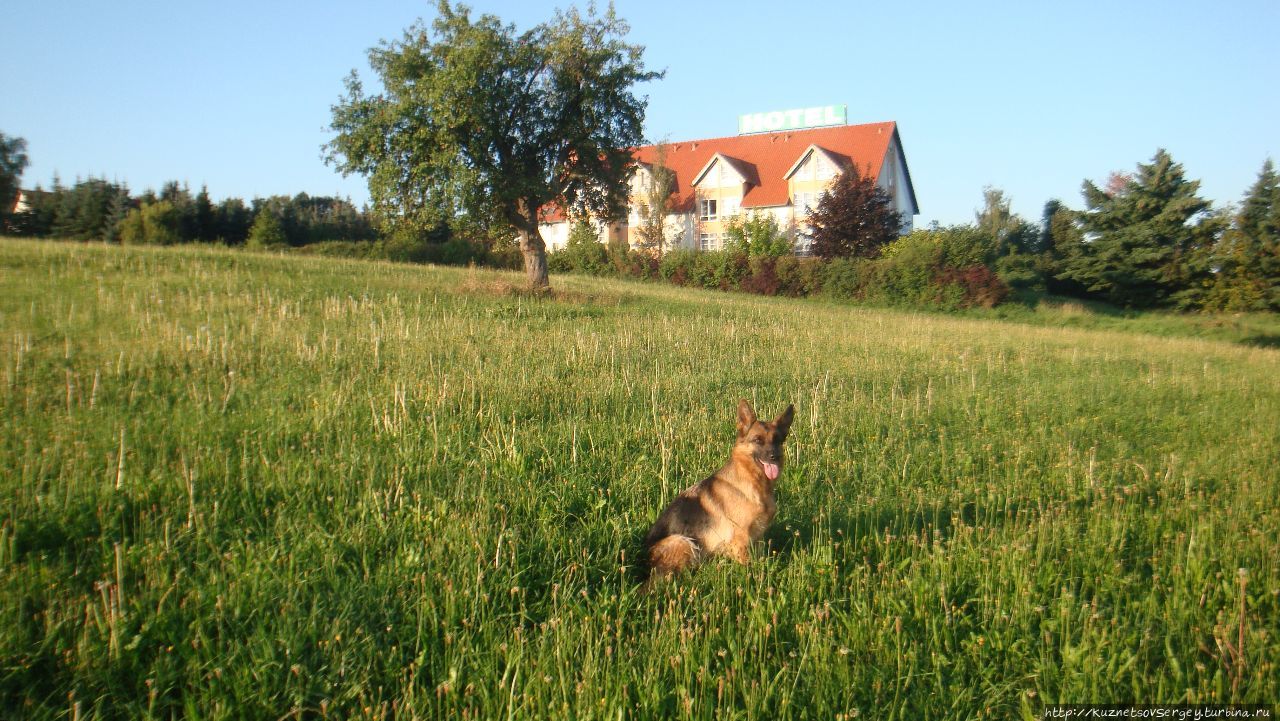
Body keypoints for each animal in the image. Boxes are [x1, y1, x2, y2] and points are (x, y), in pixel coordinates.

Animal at [645, 399, 793, 581]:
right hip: (683, 541)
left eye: (778, 440)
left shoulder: (758, 537)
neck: (752, 482)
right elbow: (748, 568)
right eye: (757, 440)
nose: (774, 457)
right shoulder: (741, 539)